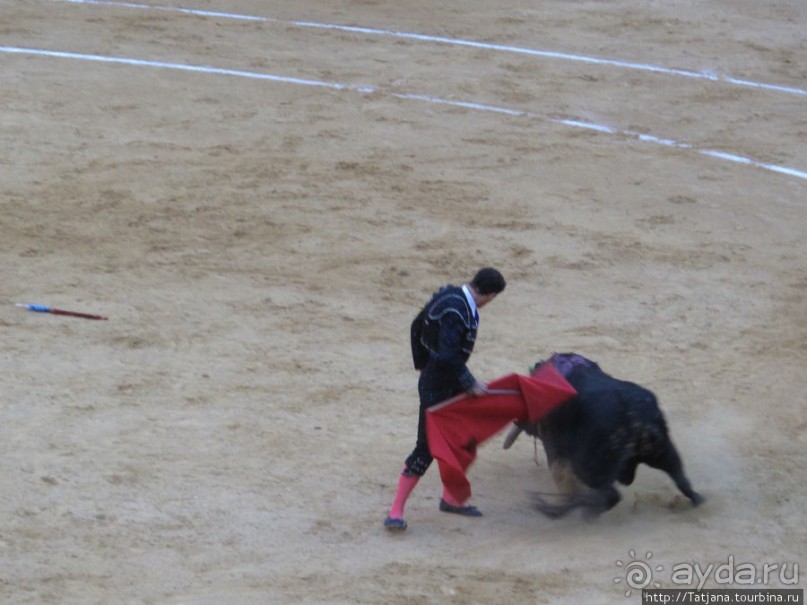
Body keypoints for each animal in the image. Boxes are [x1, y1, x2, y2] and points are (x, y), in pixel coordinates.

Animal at [508, 352, 704, 516]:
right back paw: (696, 500)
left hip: (590, 465)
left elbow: (562, 476)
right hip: (662, 450)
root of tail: (635, 416)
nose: (519, 422)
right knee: (681, 478)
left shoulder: (555, 447)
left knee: (611, 495)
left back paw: (563, 509)